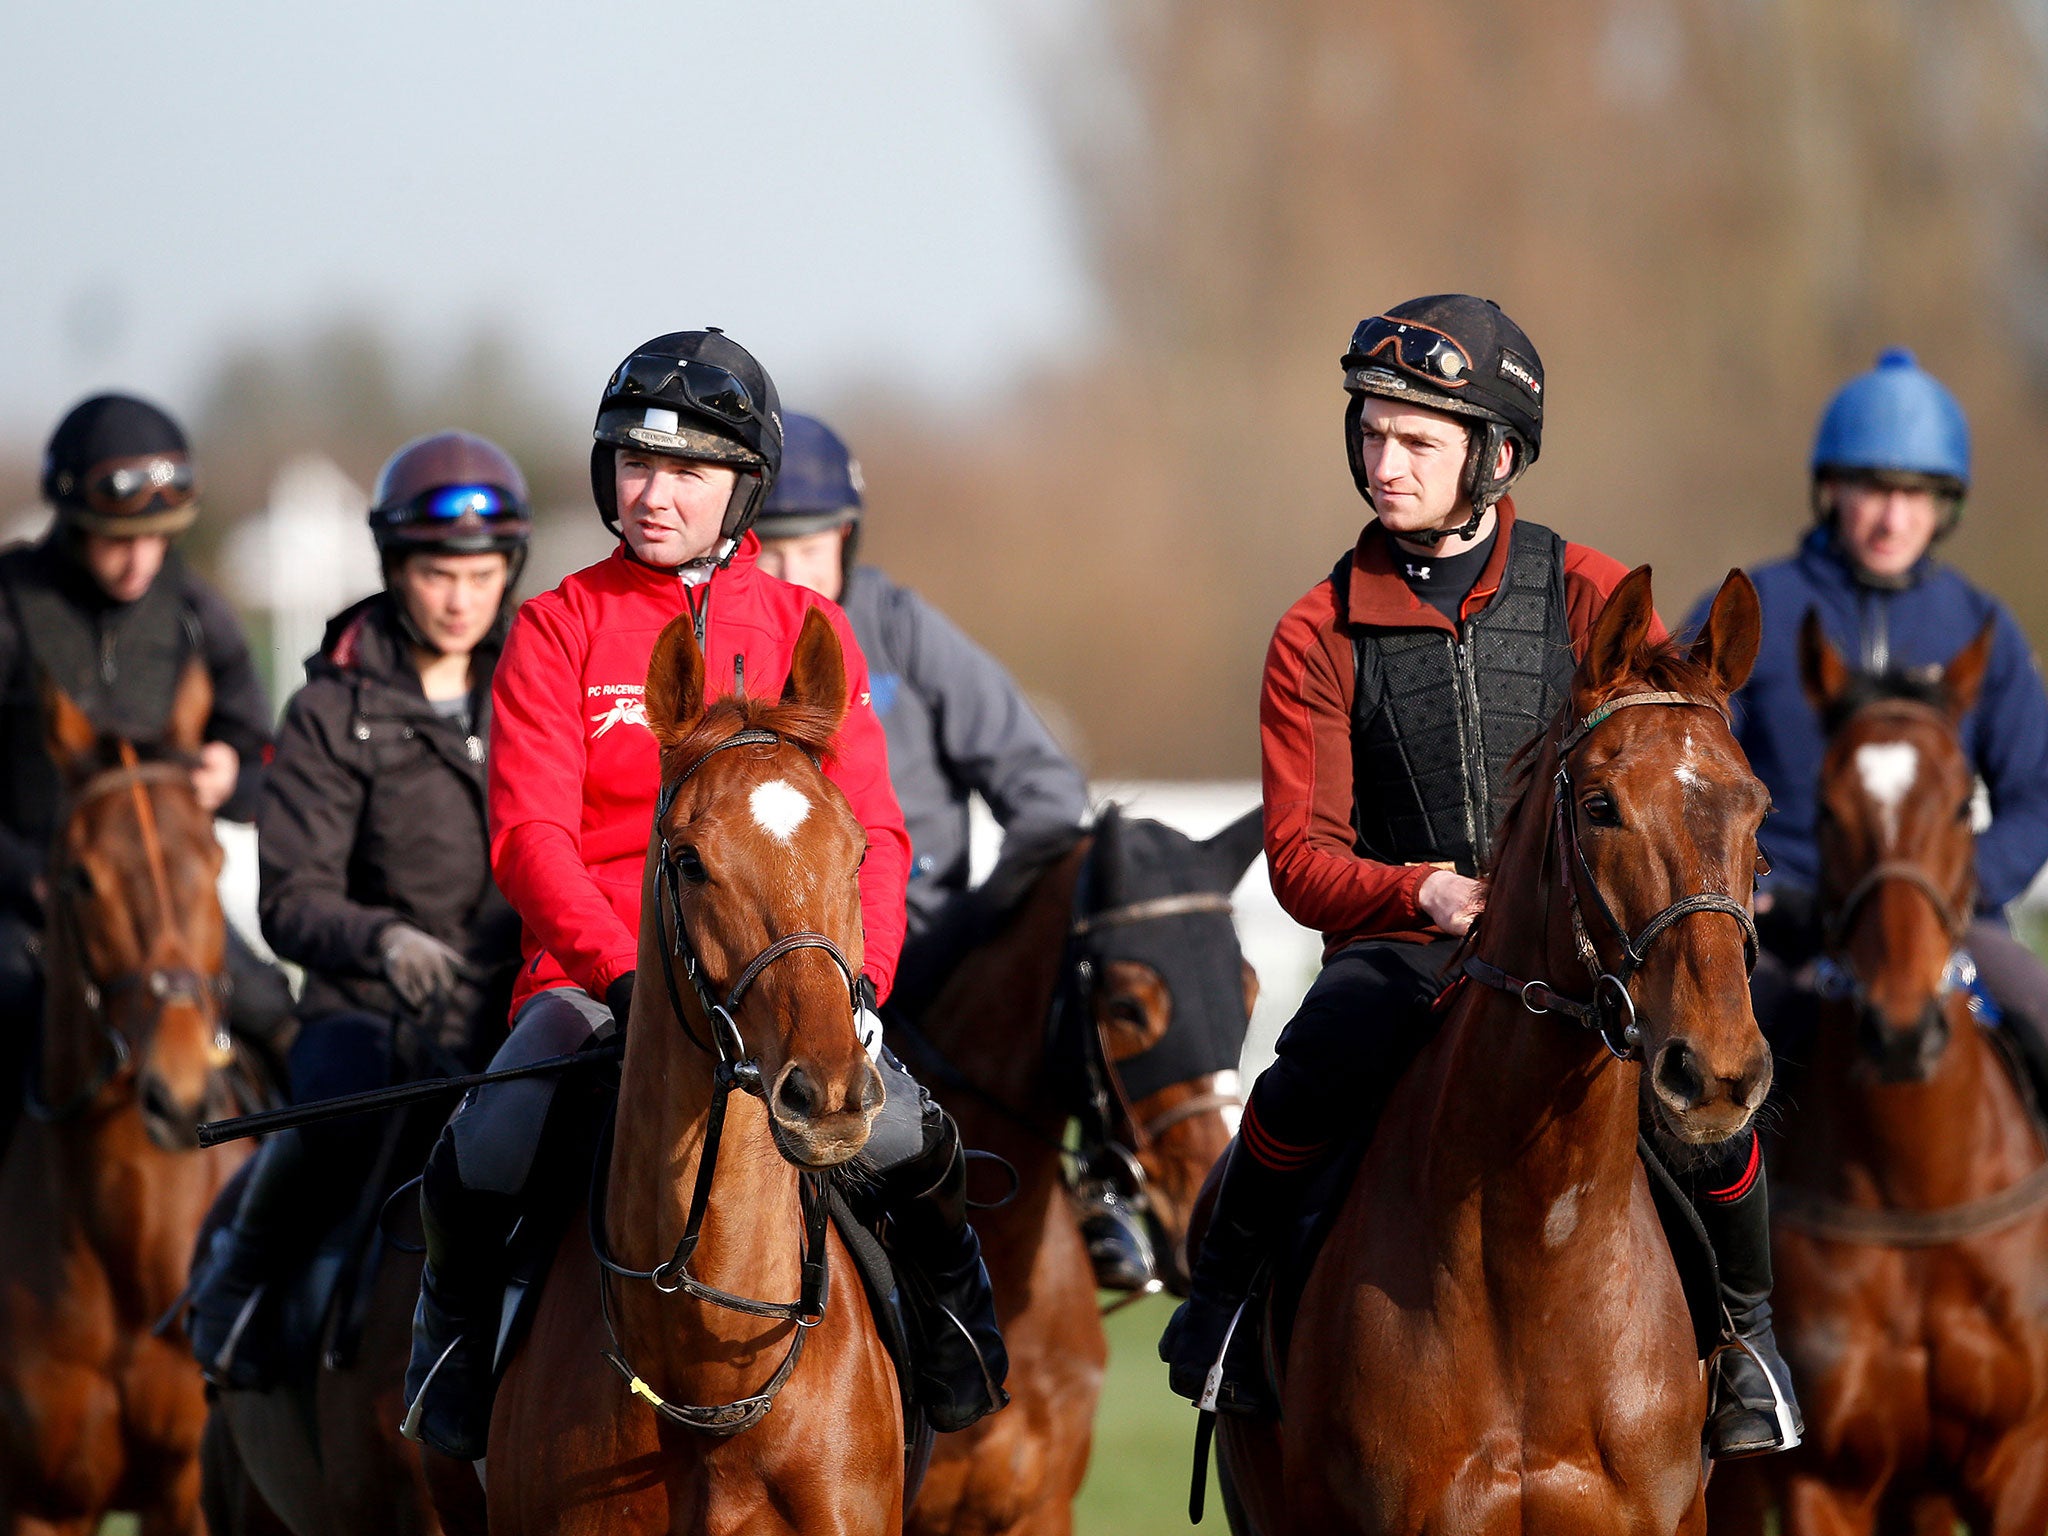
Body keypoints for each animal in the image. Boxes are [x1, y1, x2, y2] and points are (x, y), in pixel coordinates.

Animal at [1703, 614, 2048, 1536]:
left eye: (1965, 804)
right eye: (1825, 809)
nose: (1899, 1032)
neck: (1917, 1194)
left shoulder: (2019, 1466)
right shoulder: (1827, 1482)